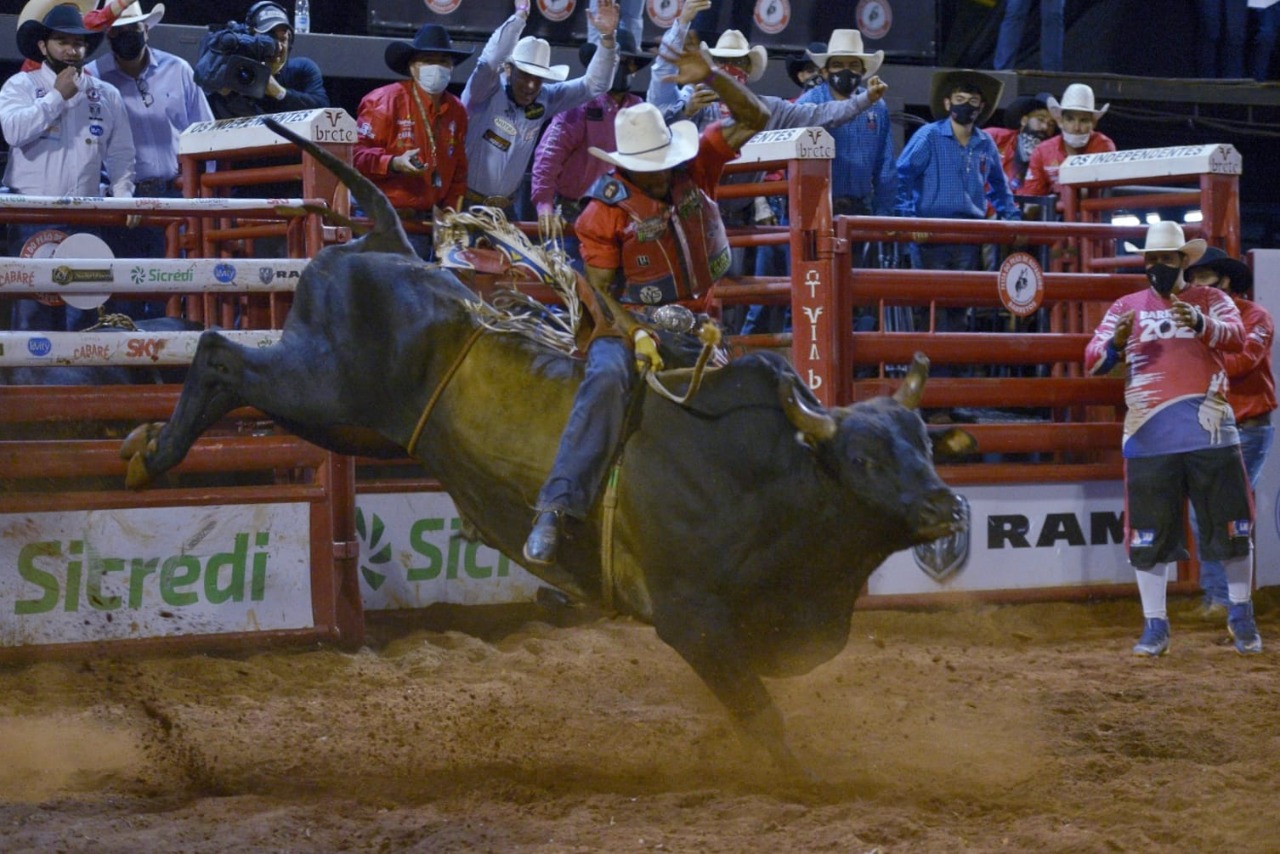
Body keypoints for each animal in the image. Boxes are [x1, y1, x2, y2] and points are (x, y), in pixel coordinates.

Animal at [124, 117, 967, 778]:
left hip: (349, 419)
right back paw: (149, 455)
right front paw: (805, 781)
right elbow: (759, 711)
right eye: (866, 459)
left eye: (926, 447)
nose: (945, 507)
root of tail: (385, 241)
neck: (777, 474)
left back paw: (146, 444)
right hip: (323, 389)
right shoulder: (691, 618)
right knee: (216, 353)